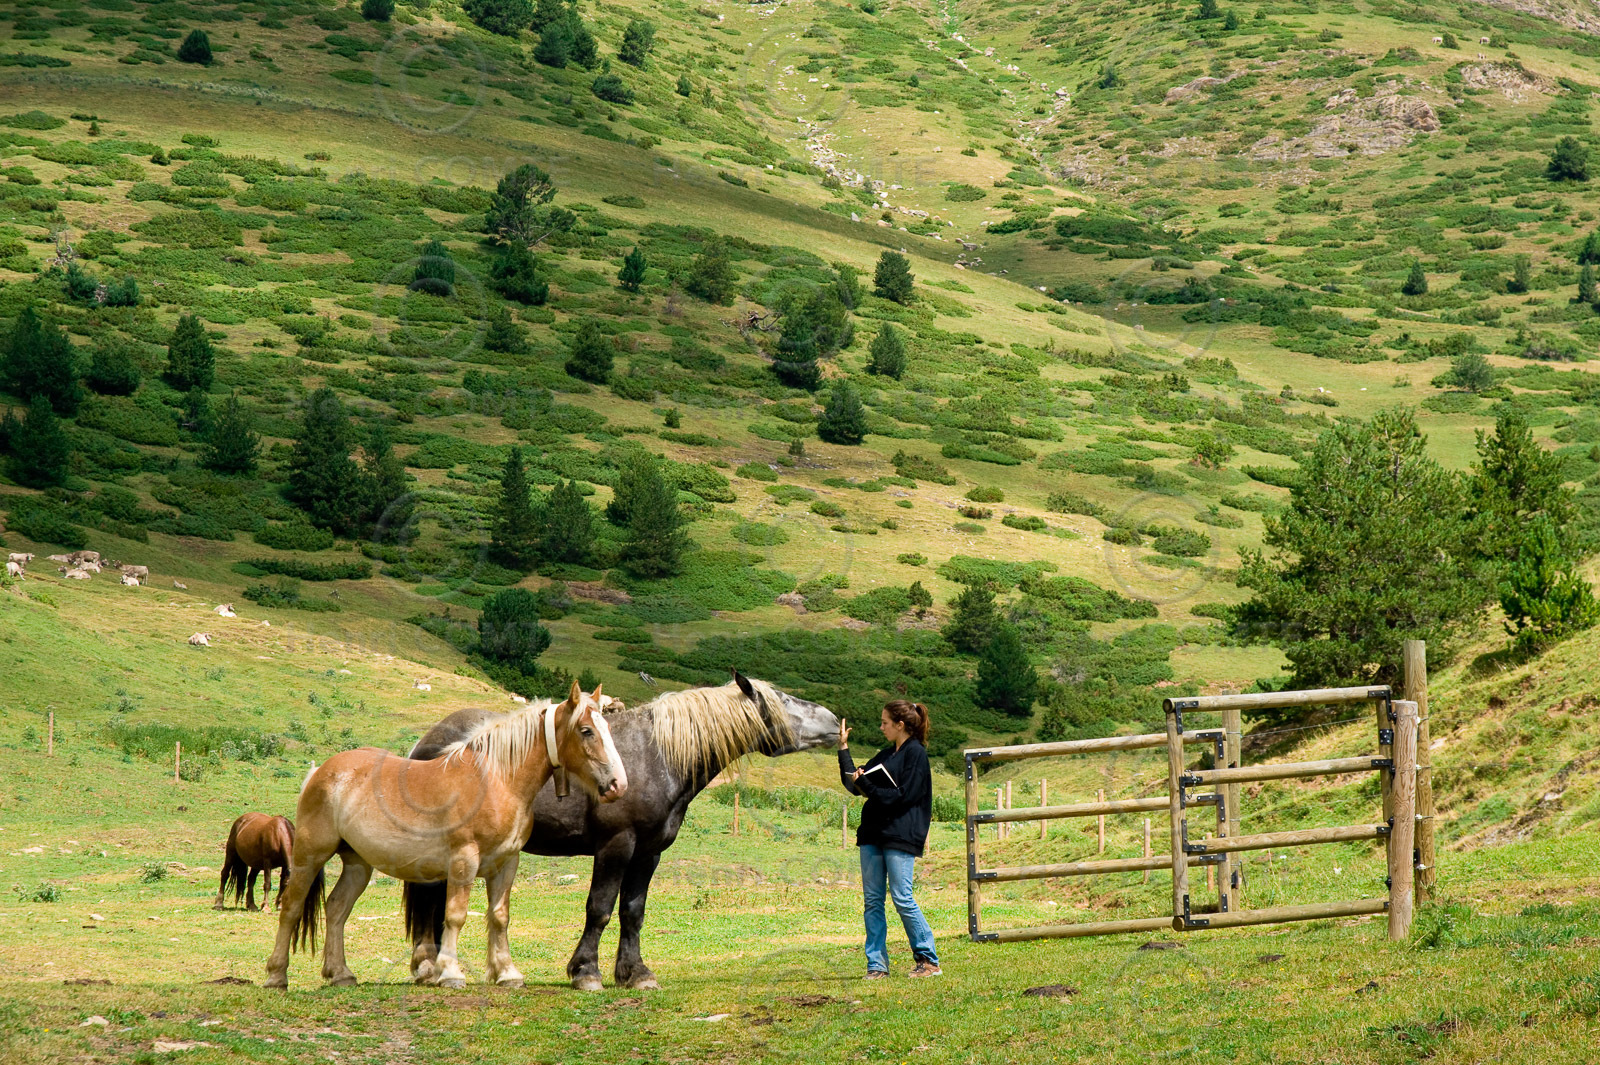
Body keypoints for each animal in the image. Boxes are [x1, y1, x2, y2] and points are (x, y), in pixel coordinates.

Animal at [264, 682, 627, 990]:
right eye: (586, 730)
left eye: (609, 729)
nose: (617, 785)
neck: (496, 780)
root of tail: (321, 772)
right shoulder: (464, 861)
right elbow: (455, 915)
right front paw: (450, 973)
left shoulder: (506, 863)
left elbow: (500, 917)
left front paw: (507, 973)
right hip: (310, 855)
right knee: (292, 907)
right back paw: (276, 976)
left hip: (357, 864)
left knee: (337, 909)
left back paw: (340, 974)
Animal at [402, 672, 839, 991]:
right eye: (783, 699)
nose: (836, 721)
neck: (656, 756)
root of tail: (429, 741)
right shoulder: (616, 846)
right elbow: (599, 908)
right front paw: (586, 972)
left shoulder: (648, 852)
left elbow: (633, 910)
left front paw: (636, 974)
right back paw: (429, 967)